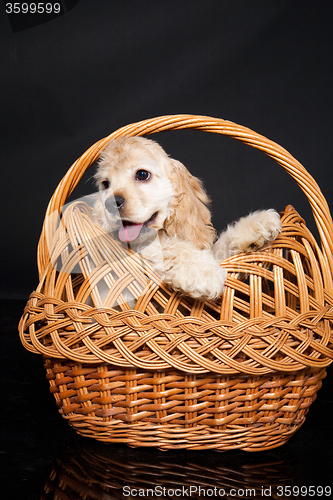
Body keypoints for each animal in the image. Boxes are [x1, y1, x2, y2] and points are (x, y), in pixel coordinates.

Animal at [91, 137, 280, 298]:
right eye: (105, 184)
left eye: (142, 174)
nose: (110, 204)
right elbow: (166, 246)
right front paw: (200, 272)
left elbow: (219, 248)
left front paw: (257, 224)